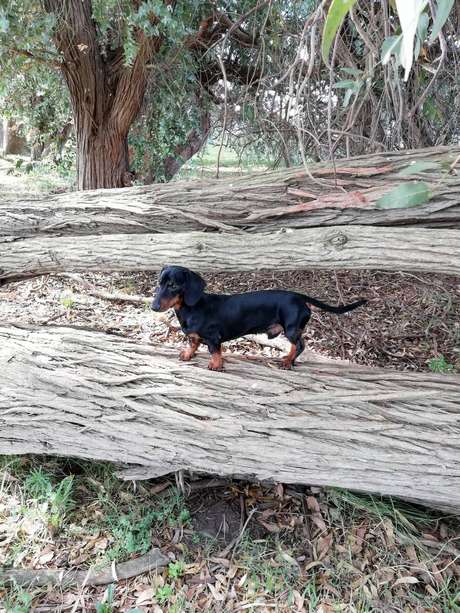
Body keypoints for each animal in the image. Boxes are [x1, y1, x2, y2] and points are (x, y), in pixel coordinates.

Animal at [152, 266, 366, 370]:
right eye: (159, 283)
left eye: (173, 285)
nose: (153, 307)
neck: (192, 308)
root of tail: (299, 297)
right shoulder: (194, 336)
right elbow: (193, 343)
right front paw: (188, 354)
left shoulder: (214, 338)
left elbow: (215, 352)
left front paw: (216, 365)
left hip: (291, 328)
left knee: (300, 345)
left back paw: (288, 362)